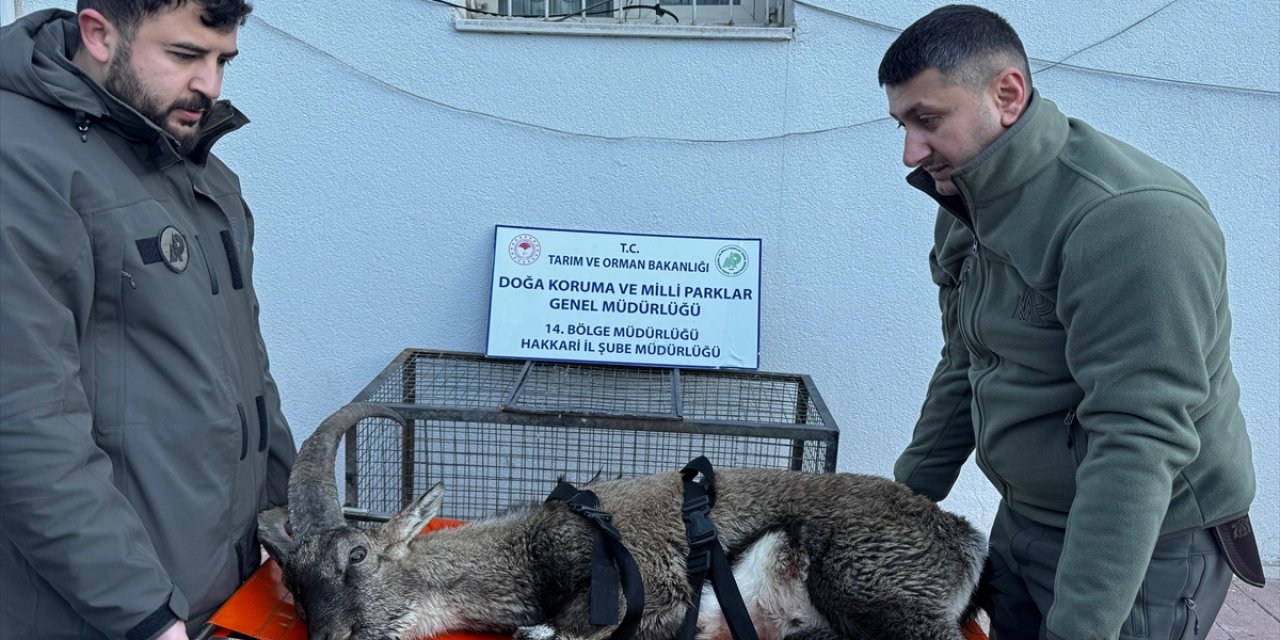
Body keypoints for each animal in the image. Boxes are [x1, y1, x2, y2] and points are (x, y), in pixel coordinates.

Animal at [257, 404, 977, 640]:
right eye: (291, 579)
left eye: (358, 555)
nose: (330, 638)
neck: (527, 555)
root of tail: (963, 536)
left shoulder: (653, 587)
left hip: (869, 585)